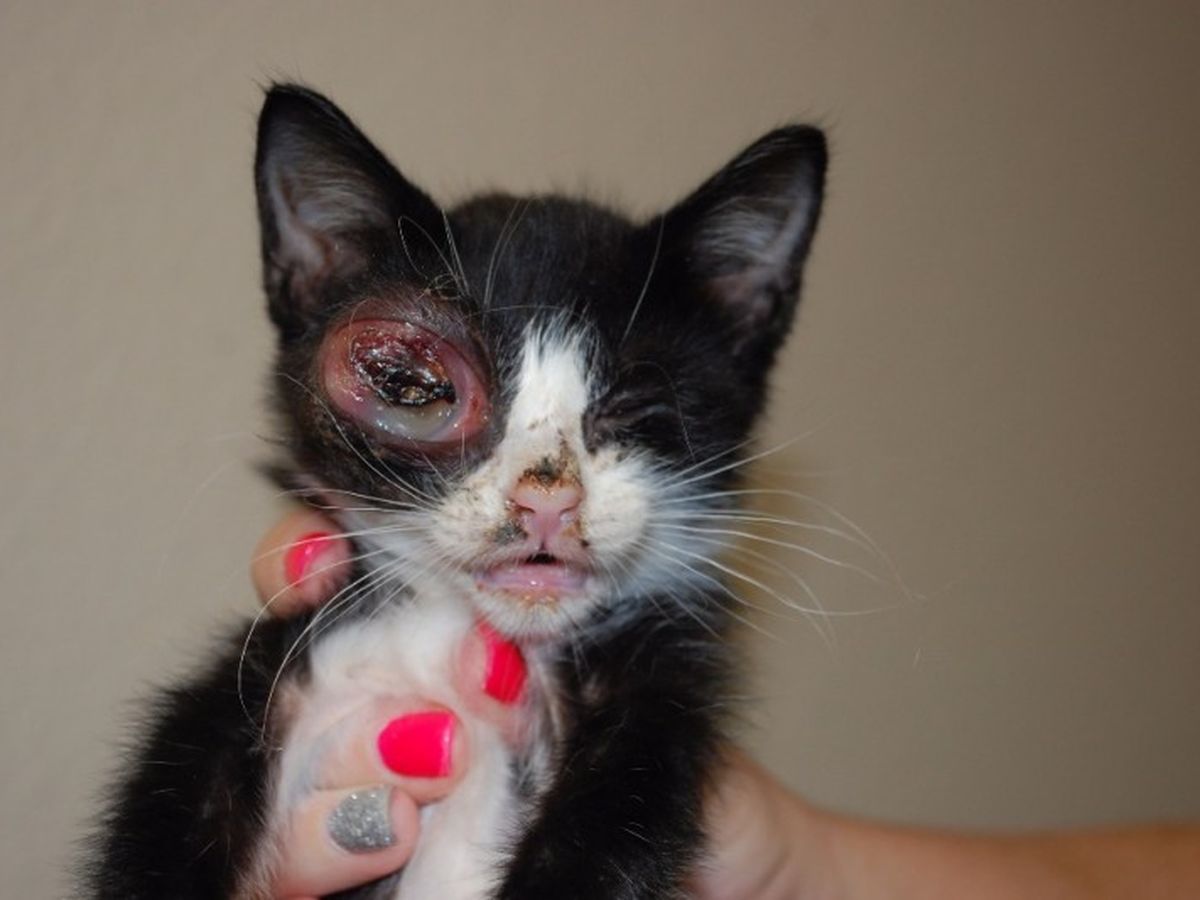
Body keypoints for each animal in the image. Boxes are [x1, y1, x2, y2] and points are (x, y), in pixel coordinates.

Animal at [85, 84, 825, 899]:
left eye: (637, 409)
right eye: (412, 385)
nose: (547, 500)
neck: (441, 634)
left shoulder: (653, 705)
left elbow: (614, 827)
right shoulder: (283, 660)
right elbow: (184, 778)